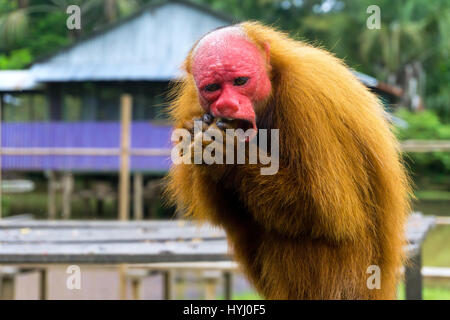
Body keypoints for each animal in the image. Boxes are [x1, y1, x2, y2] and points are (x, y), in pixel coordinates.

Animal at [165, 22, 412, 300]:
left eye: (240, 81)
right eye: (213, 87)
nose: (227, 105)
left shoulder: (307, 99)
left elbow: (327, 211)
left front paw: (229, 153)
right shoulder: (193, 108)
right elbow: (227, 215)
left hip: (354, 276)